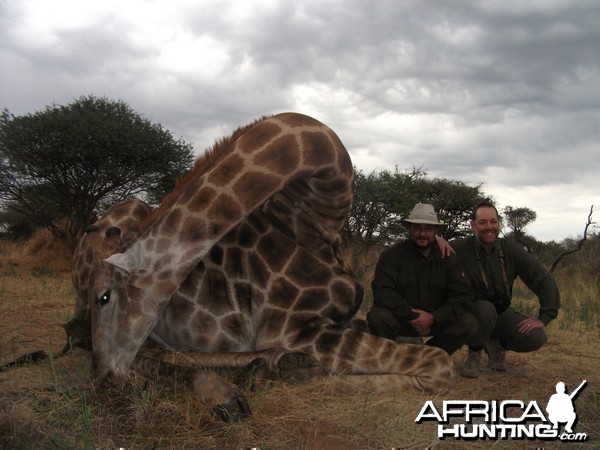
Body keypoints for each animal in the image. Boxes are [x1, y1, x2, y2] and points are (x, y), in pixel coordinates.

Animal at [72, 111, 452, 418]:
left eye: (105, 297)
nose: (103, 378)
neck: (314, 224)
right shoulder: (295, 330)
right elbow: (438, 363)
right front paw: (300, 376)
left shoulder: (342, 318)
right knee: (148, 355)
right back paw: (244, 384)